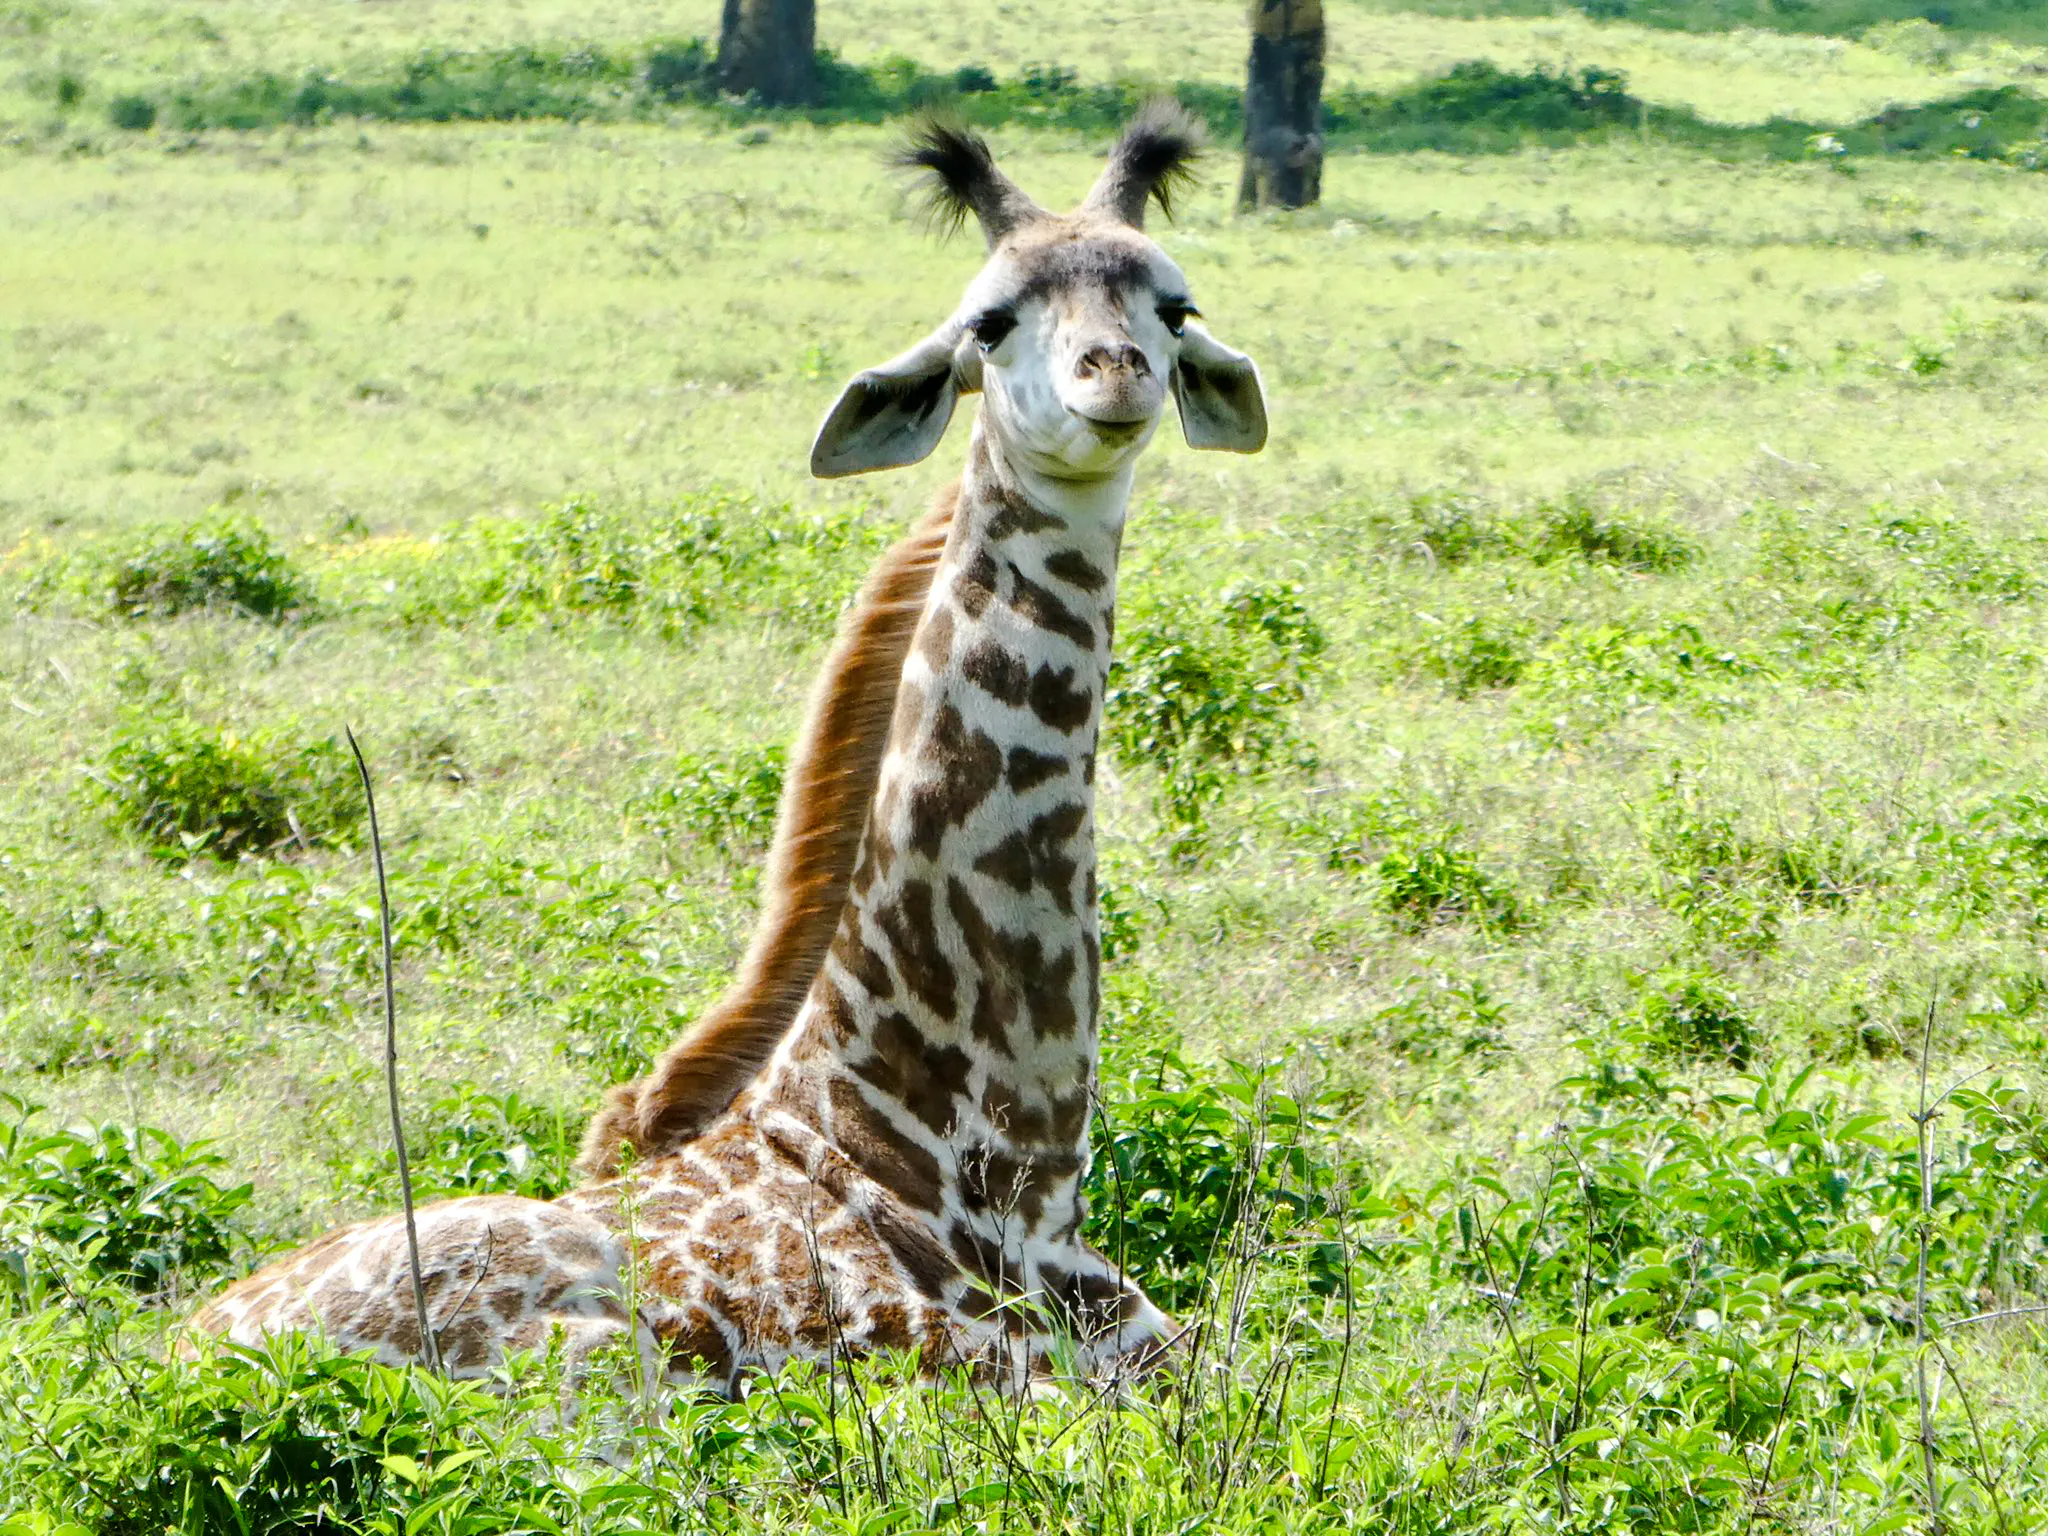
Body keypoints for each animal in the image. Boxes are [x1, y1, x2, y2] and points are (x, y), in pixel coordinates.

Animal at [187, 106, 1267, 1391]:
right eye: (989, 320)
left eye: (1174, 307)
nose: (1114, 378)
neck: (984, 1166)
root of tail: (177, 1348)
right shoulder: (988, 1384)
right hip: (594, 1371)